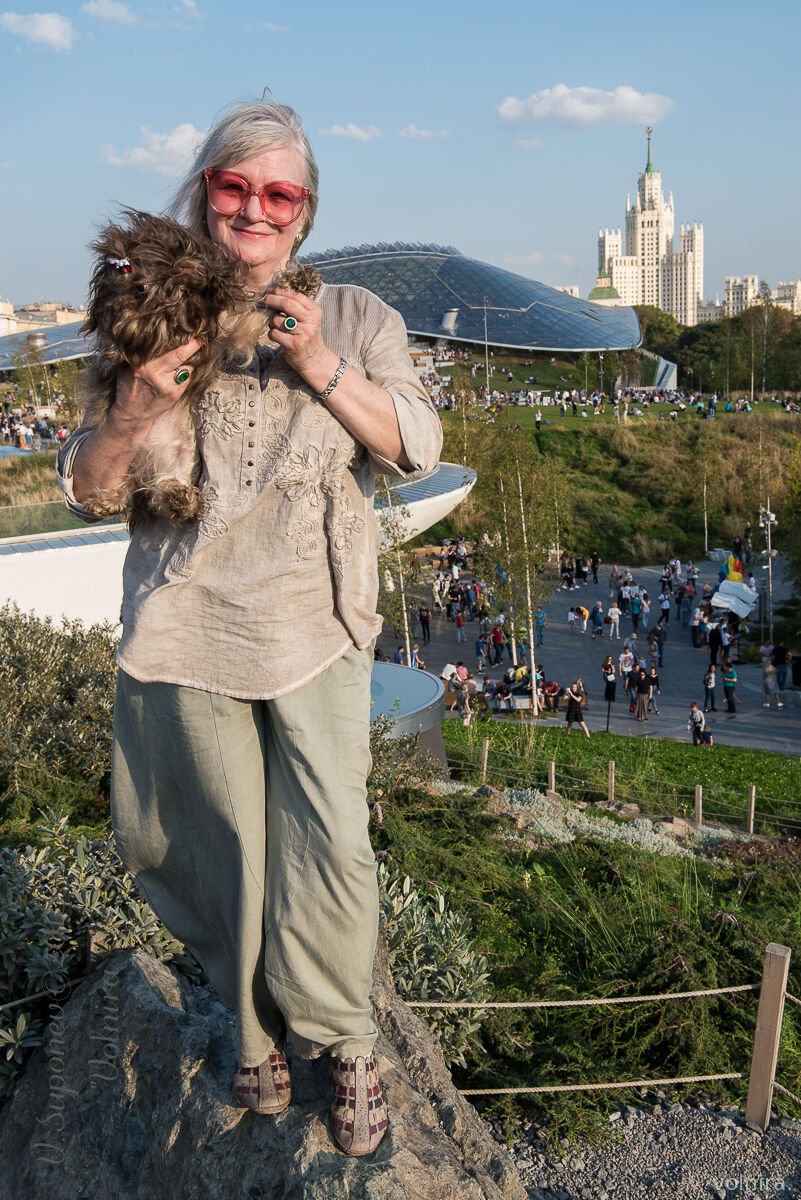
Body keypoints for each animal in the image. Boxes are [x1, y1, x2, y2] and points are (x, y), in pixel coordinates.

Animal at [78, 208, 319, 527]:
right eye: (182, 282)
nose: (209, 290)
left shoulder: (232, 332)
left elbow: (259, 307)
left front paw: (297, 282)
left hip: (175, 462)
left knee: (161, 493)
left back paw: (179, 499)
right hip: (121, 453)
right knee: (125, 488)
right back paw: (108, 500)